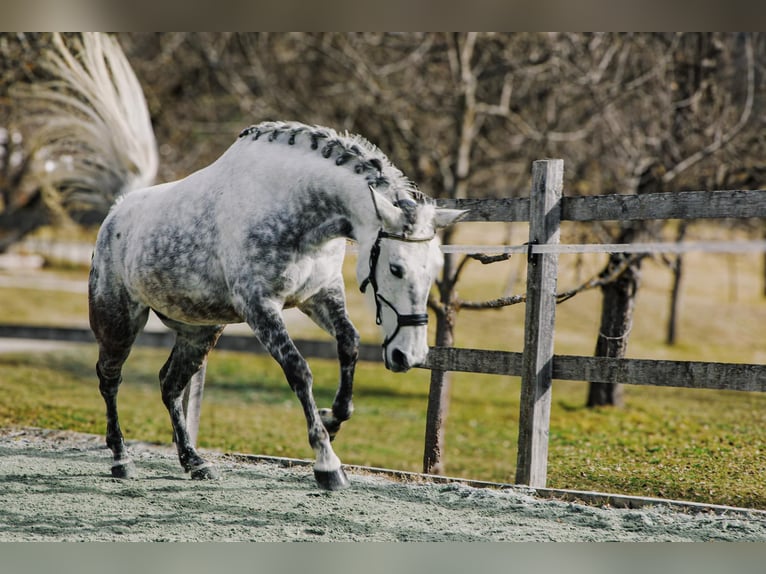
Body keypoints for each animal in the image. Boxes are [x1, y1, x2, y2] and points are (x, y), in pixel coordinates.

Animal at [87, 120, 464, 490]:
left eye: (434, 267)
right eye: (395, 268)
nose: (408, 356)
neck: (294, 207)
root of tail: (115, 214)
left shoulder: (320, 296)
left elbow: (349, 344)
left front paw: (333, 420)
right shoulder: (260, 307)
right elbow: (299, 370)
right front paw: (327, 464)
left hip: (200, 332)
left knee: (170, 385)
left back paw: (194, 462)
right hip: (119, 322)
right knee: (109, 379)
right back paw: (121, 459)